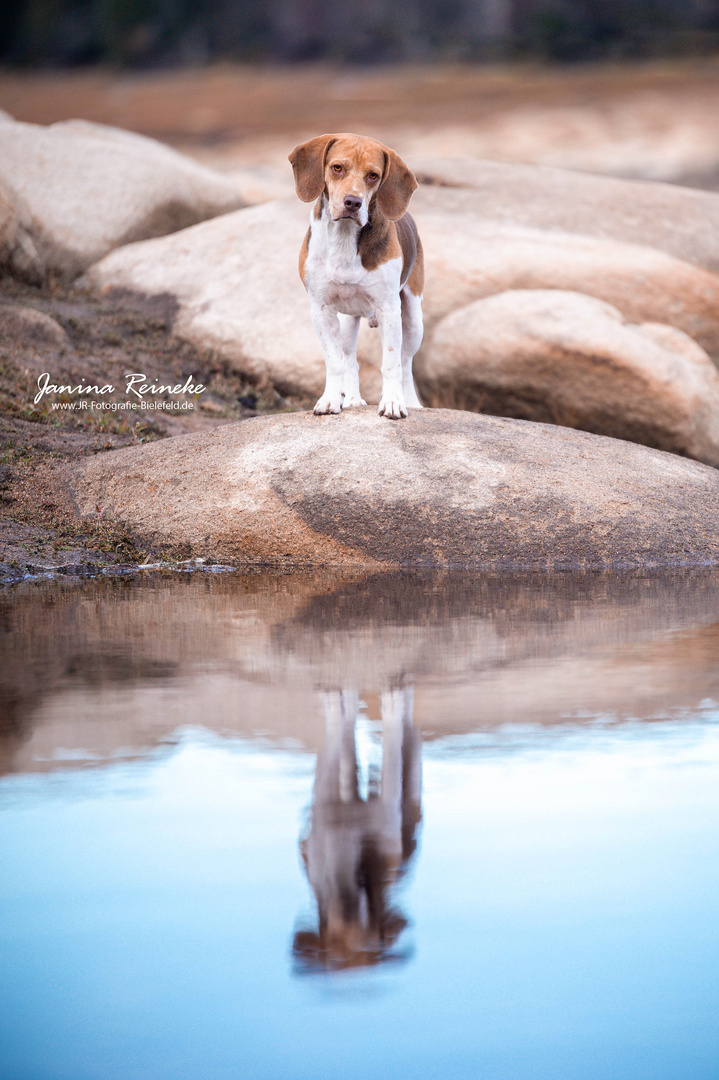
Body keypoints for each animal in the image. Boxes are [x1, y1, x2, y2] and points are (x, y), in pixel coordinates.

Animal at [289, 132, 423, 419]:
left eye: (373, 175)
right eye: (337, 167)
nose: (353, 202)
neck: (343, 239)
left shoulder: (389, 310)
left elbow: (391, 363)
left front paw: (393, 401)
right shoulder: (321, 309)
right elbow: (334, 361)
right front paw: (331, 399)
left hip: (413, 319)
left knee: (406, 362)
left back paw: (411, 401)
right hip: (347, 321)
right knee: (350, 359)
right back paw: (351, 399)